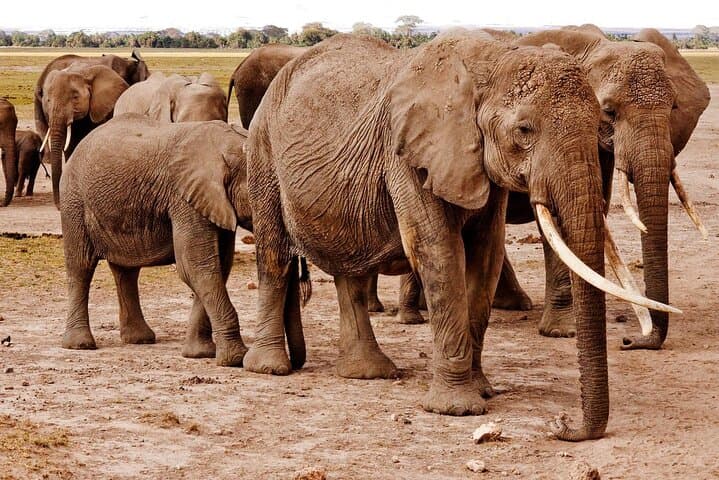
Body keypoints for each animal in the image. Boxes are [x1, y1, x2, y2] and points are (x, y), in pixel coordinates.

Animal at [59, 113, 258, 366]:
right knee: (80, 266)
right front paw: (235, 359)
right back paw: (80, 345)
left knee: (126, 271)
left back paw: (139, 339)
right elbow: (196, 266)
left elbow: (217, 267)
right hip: (74, 199)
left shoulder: (213, 202)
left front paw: (199, 354)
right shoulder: (184, 198)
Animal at [244, 32, 675, 440]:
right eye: (524, 130)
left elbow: (486, 256)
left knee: (349, 269)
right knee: (274, 256)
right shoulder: (406, 154)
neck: (492, 60)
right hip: (263, 152)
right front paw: (457, 408)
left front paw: (482, 389)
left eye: (600, 121)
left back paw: (366, 372)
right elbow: (439, 252)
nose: (563, 425)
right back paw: (270, 367)